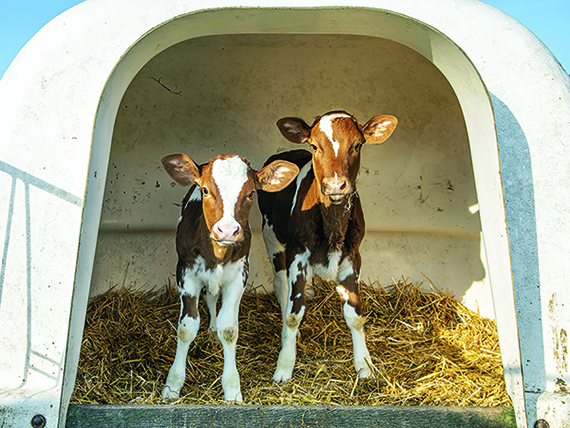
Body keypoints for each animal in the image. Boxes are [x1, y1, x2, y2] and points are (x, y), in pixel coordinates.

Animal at [160, 153, 298, 402]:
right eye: (205, 190)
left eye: (251, 193)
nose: (227, 230)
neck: (217, 254)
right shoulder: (185, 272)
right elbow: (186, 328)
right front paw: (173, 385)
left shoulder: (239, 274)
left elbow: (229, 329)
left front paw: (232, 388)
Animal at [258, 109, 394, 382]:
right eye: (314, 145)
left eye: (357, 145)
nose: (335, 186)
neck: (332, 225)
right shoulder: (297, 253)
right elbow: (293, 313)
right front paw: (284, 365)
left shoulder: (353, 255)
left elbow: (355, 315)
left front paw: (364, 364)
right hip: (271, 237)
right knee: (281, 284)